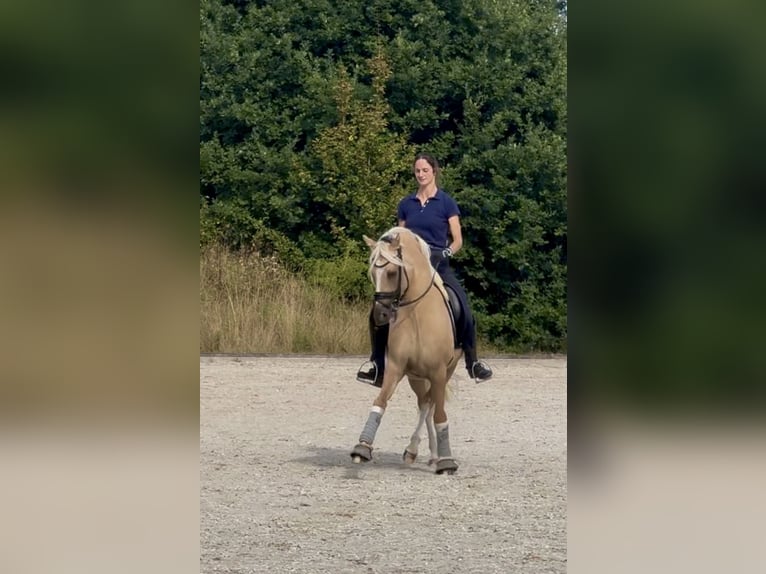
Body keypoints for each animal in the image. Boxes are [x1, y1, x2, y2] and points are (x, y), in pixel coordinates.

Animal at [350, 226, 463, 474]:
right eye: (373, 274)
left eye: (392, 272)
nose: (380, 315)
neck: (417, 314)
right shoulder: (395, 367)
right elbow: (380, 401)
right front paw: (362, 447)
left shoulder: (439, 372)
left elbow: (440, 413)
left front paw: (447, 460)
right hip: (416, 378)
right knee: (424, 404)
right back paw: (420, 452)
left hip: (444, 371)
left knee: (430, 406)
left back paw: (432, 455)